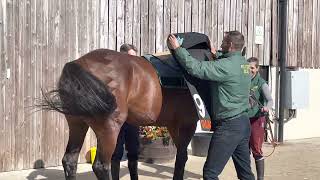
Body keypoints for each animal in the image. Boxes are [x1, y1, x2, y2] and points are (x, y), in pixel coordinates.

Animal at [41, 48, 199, 179]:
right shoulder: (188, 124)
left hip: (77, 124)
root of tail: (78, 63)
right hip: (109, 129)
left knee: (70, 161)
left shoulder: (174, 126)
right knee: (101, 166)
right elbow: (181, 159)